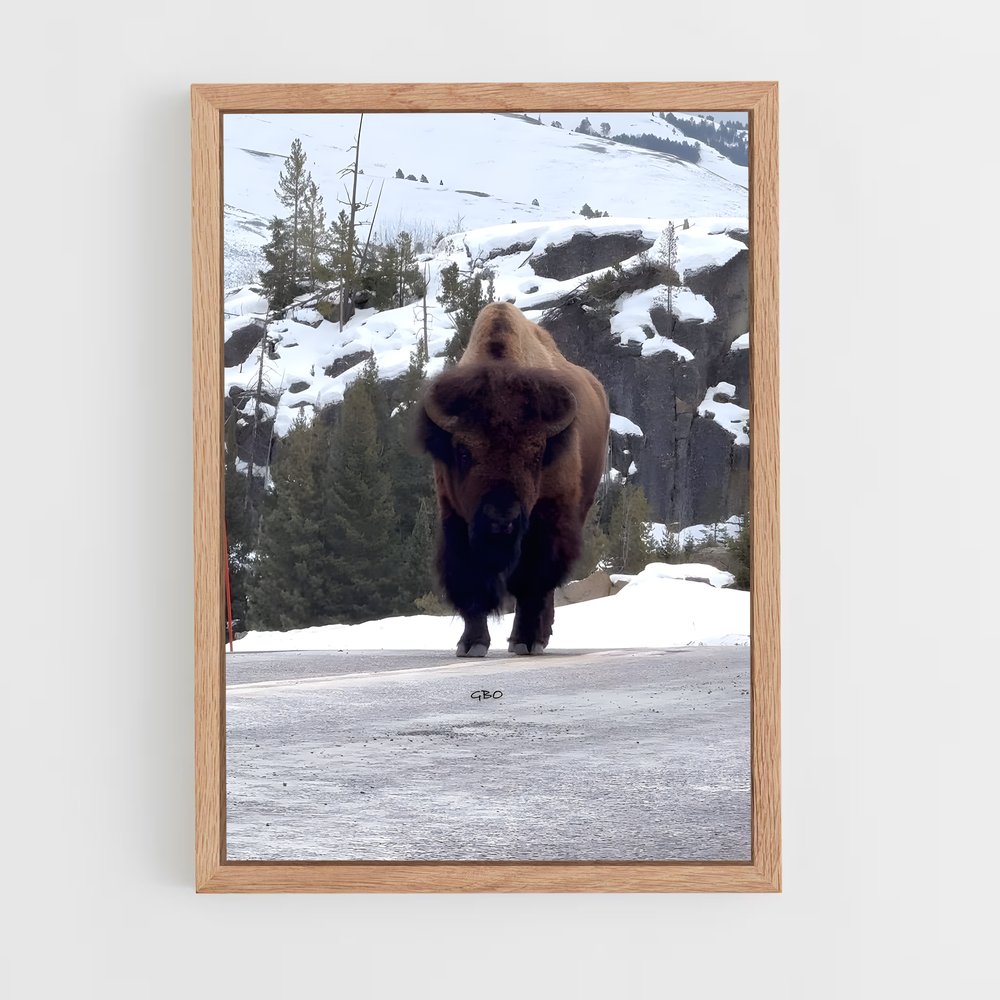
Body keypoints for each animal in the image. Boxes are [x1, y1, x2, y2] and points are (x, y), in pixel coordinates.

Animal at [417, 302, 610, 656]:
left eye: (535, 453)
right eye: (463, 452)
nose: (500, 518)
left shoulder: (546, 519)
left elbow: (533, 582)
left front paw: (525, 639)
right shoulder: (455, 515)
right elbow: (470, 578)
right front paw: (471, 644)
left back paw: (538, 637)